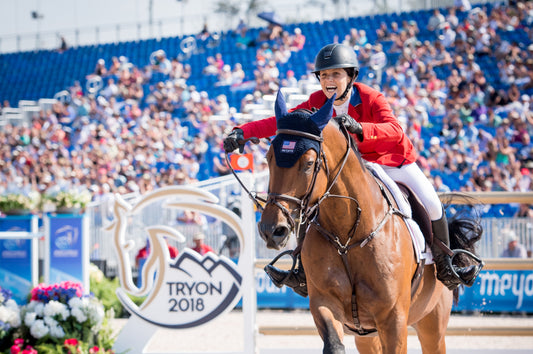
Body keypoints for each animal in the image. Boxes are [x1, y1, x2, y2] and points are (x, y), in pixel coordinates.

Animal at [256, 92, 480, 354]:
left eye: (309, 163)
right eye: (268, 158)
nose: (272, 230)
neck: (348, 235)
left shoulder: (393, 319)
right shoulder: (324, 304)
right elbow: (334, 345)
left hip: (431, 324)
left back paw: (449, 269)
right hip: (367, 335)